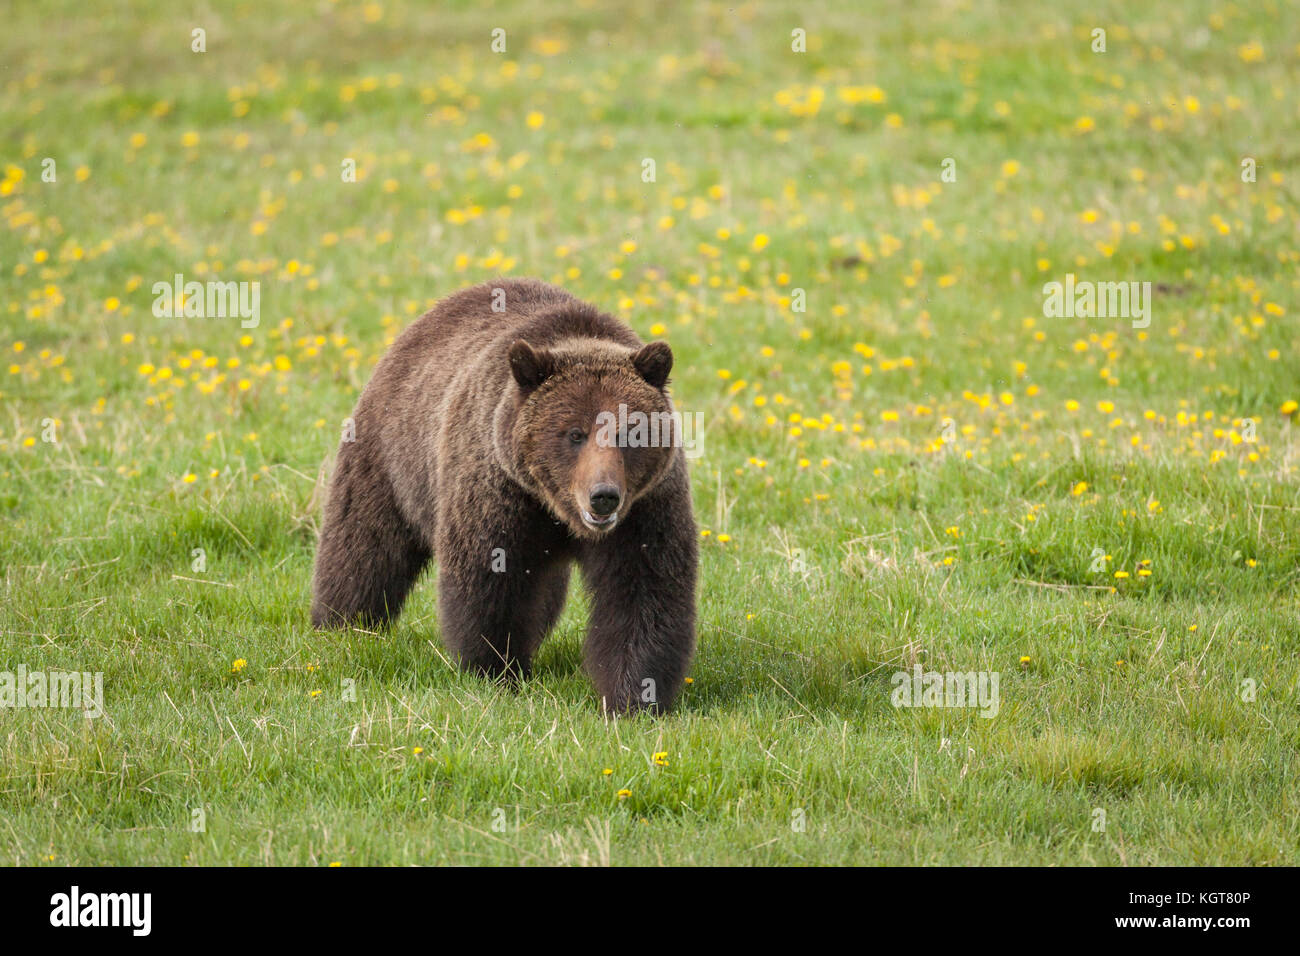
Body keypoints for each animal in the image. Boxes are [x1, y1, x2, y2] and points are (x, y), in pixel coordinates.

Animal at [311, 278, 698, 714]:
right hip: (390, 456)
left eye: (630, 432)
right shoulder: (498, 493)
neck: (553, 507)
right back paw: (344, 623)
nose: (603, 496)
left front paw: (634, 696)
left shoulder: (646, 509)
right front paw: (495, 670)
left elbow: (643, 591)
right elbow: (490, 581)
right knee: (363, 545)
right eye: (574, 433)